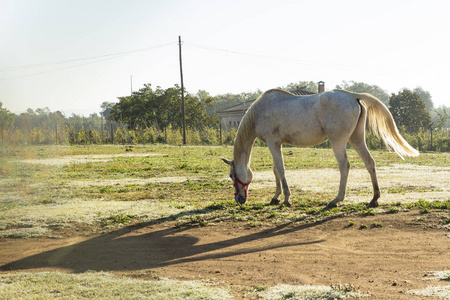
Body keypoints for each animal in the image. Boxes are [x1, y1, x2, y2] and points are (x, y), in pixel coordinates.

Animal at [221, 89, 418, 209]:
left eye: (231, 175)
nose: (239, 199)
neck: (260, 110)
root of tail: (351, 95)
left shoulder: (273, 142)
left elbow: (281, 170)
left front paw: (286, 199)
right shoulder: (276, 144)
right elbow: (276, 170)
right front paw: (275, 197)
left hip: (338, 141)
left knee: (344, 166)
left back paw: (336, 199)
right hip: (357, 139)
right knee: (369, 162)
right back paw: (374, 199)